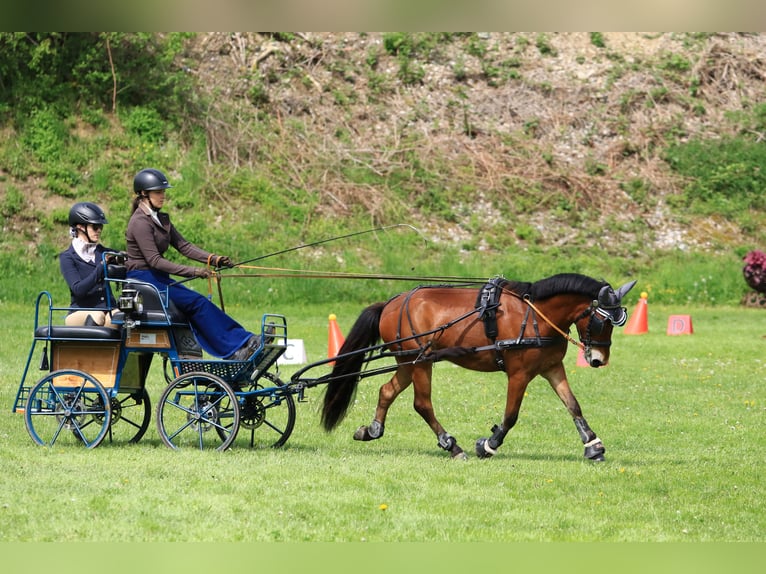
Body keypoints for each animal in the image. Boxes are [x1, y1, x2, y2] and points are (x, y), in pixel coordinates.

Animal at [320, 274, 640, 464]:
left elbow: (573, 405)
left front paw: (593, 445)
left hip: (408, 361)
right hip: (421, 361)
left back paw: (372, 430)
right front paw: (487, 445)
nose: (598, 359)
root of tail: (391, 302)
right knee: (422, 403)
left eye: (618, 320)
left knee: (387, 390)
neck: (536, 316)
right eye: (602, 320)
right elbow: (511, 416)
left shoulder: (552, 367)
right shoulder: (519, 374)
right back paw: (451, 445)